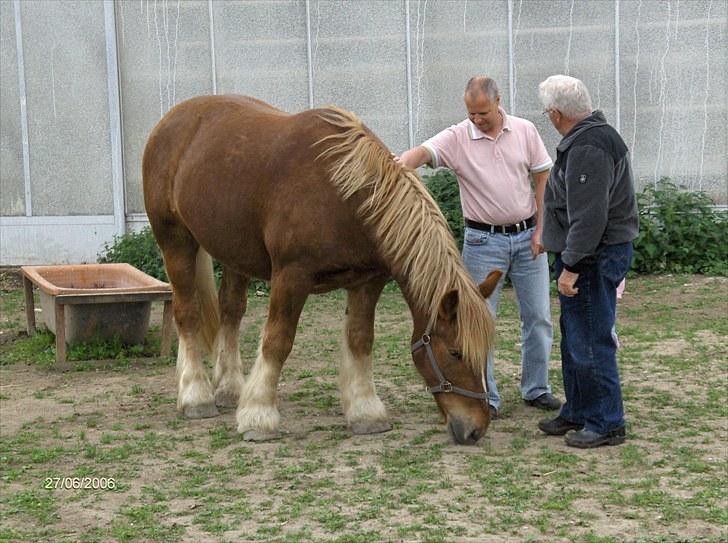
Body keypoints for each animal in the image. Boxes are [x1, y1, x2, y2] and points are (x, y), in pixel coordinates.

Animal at [142, 96, 500, 446]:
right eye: (455, 352)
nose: (475, 429)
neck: (342, 194)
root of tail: (171, 120)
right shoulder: (291, 276)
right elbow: (277, 341)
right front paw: (259, 416)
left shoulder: (368, 281)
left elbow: (360, 340)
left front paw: (366, 413)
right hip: (175, 241)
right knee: (187, 313)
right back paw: (196, 395)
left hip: (233, 254)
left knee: (231, 312)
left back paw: (230, 389)